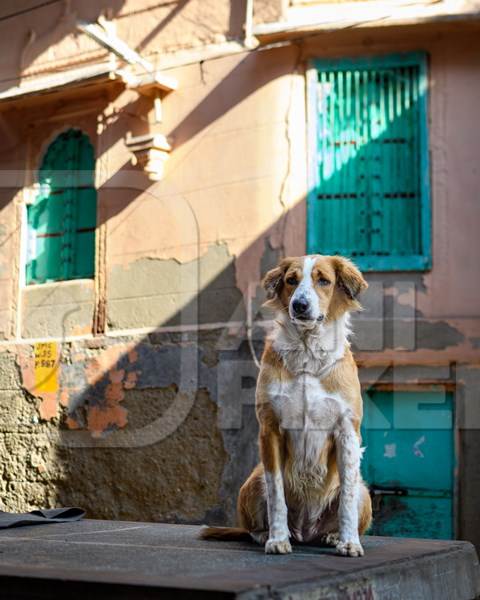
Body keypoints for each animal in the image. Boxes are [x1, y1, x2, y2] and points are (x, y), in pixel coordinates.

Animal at [201, 254, 374, 556]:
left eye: (323, 280)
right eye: (291, 280)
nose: (299, 305)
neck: (307, 354)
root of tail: (306, 531)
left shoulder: (347, 431)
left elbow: (348, 500)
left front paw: (350, 542)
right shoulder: (270, 430)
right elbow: (276, 495)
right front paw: (277, 539)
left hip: (365, 492)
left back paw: (333, 536)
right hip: (252, 481)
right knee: (253, 525)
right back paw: (267, 535)